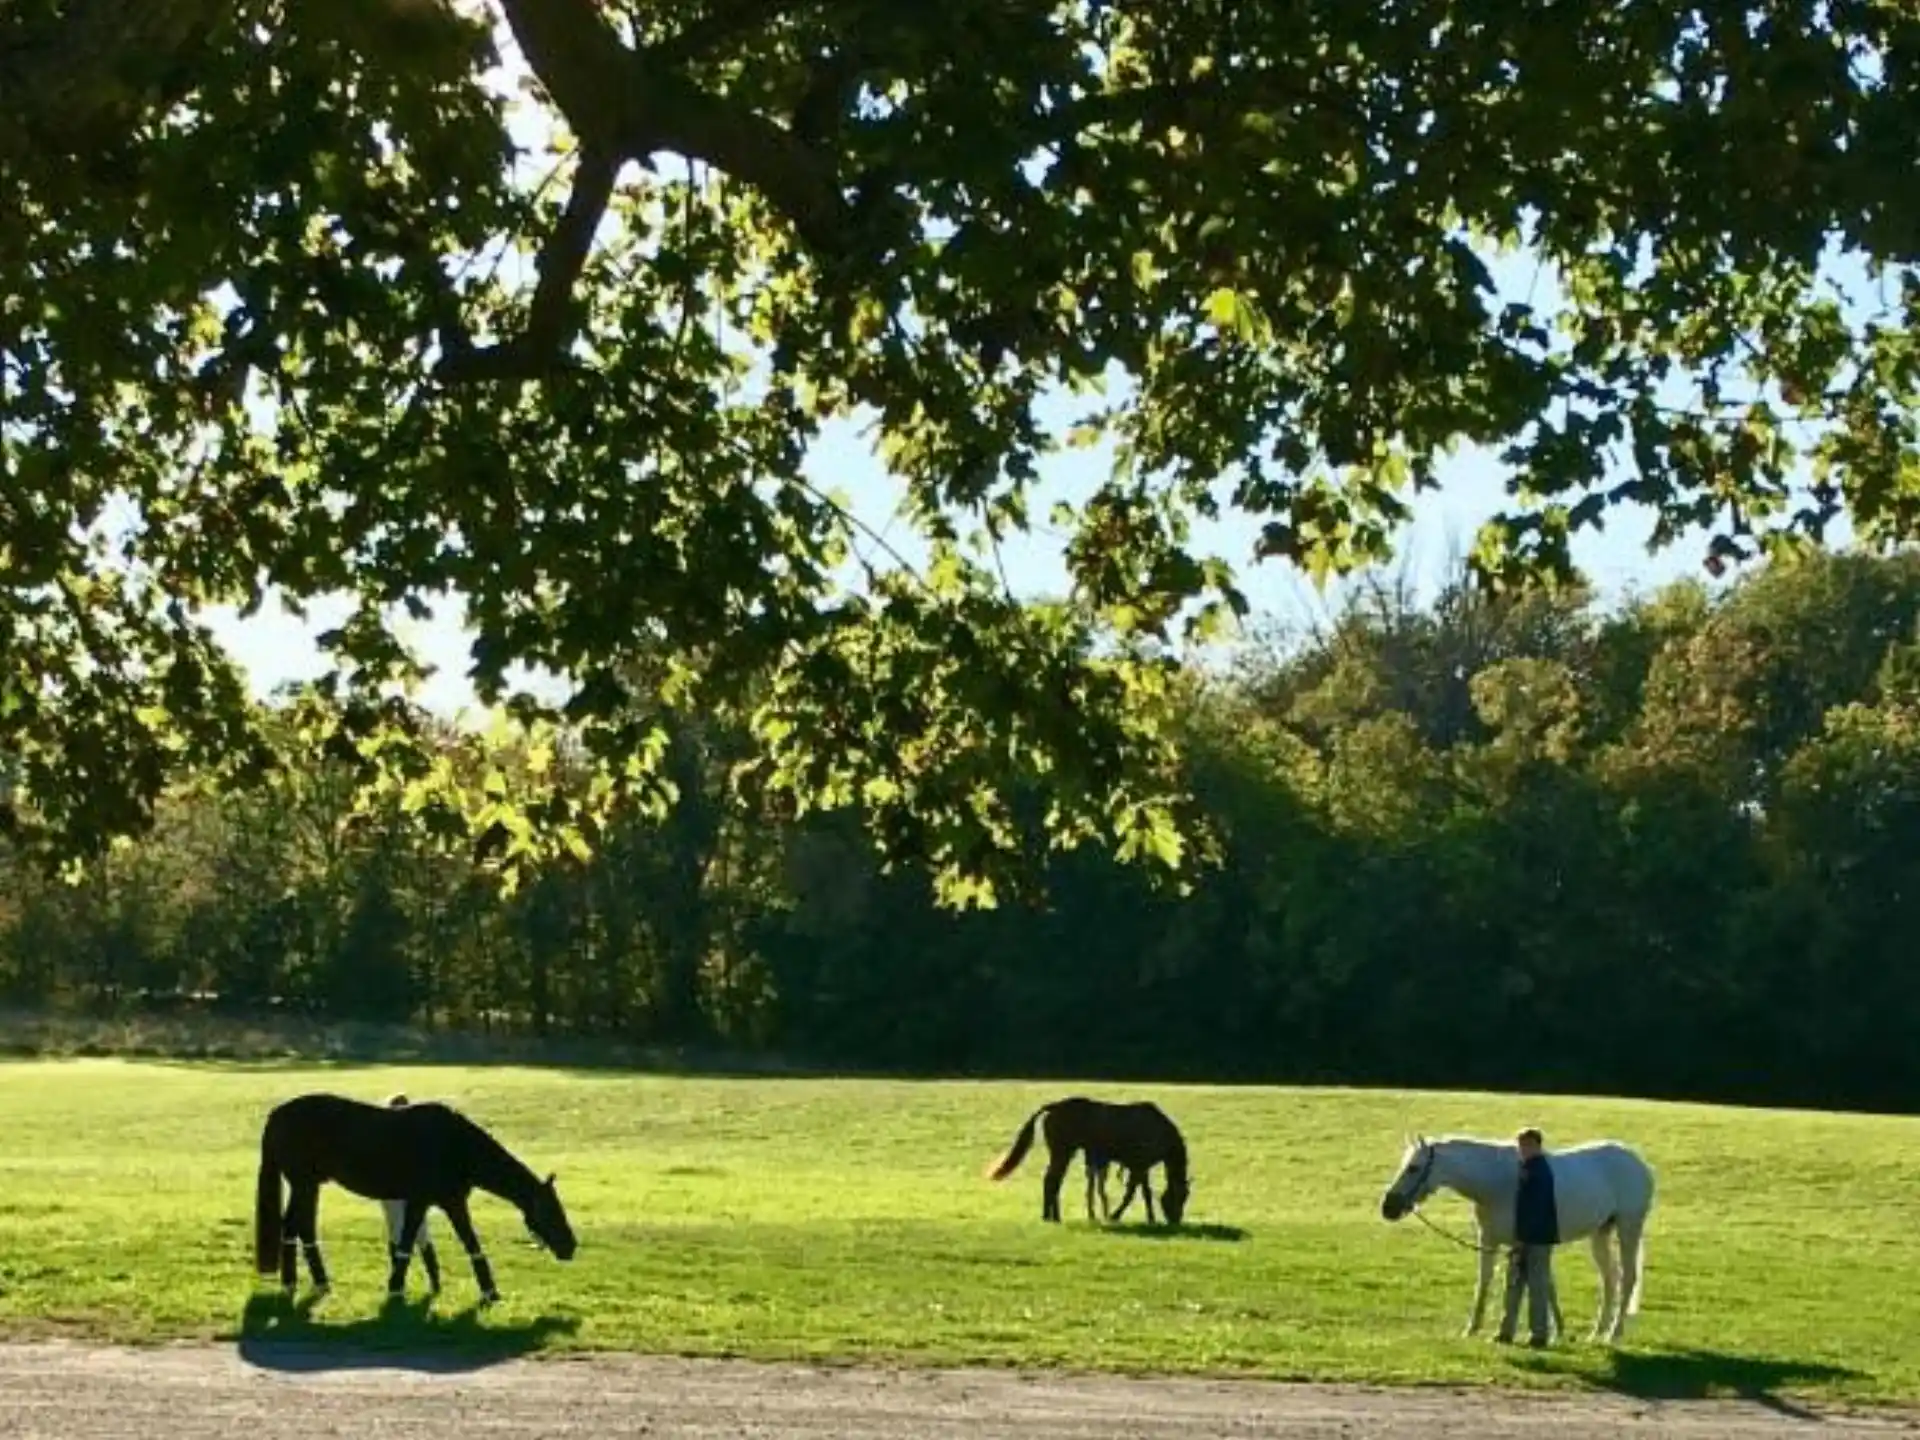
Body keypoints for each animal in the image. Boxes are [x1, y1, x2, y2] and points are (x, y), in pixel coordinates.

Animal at [253, 1092, 577, 1305]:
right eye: (551, 1211)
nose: (571, 1247)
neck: (456, 1144)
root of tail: (276, 1114)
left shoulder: (439, 1202)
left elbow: (436, 1243)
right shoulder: (434, 1202)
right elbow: (426, 1243)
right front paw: (397, 1289)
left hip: (309, 1185)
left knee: (302, 1228)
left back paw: (319, 1284)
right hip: (303, 1184)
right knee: (292, 1226)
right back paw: (292, 1284)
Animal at [988, 1097, 1190, 1226]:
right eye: (1180, 1196)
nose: (1176, 1220)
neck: (1160, 1132)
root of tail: (1053, 1107)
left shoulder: (1140, 1166)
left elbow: (1143, 1192)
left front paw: (1149, 1218)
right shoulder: (1138, 1165)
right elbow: (1133, 1193)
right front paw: (1116, 1215)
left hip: (1063, 1153)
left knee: (1054, 1181)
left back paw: (1053, 1216)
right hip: (1062, 1152)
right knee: (1052, 1180)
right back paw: (1050, 1216)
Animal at [1379, 1133, 1655, 1343]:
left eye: (1413, 1167)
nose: (1388, 1208)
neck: (1496, 1181)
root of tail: (1638, 1162)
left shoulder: (1520, 1243)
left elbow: (1524, 1284)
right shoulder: (1490, 1241)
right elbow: (1486, 1281)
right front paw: (1473, 1329)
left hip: (1628, 1228)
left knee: (1628, 1278)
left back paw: (1613, 1334)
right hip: (1600, 1233)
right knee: (1609, 1278)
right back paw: (1596, 1333)